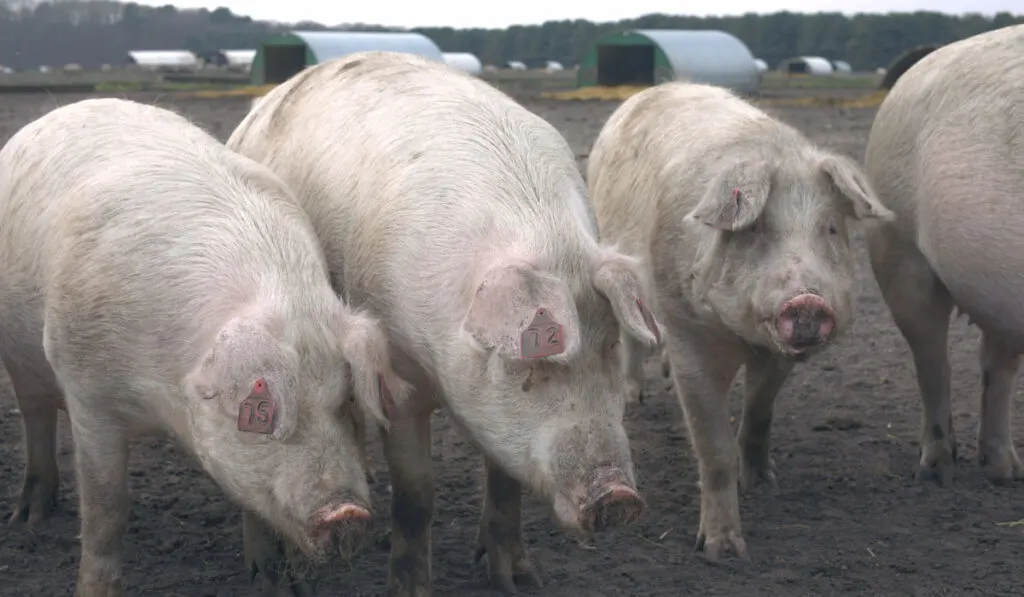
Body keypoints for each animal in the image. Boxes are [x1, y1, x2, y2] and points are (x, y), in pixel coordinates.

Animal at [0, 98, 407, 597]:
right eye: (267, 413)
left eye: (347, 400)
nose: (347, 511)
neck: (163, 401)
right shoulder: (87, 394)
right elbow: (106, 509)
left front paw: (270, 579)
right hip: (19, 355)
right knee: (34, 415)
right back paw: (29, 517)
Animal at [226, 49, 663, 593]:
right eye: (527, 364)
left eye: (610, 346)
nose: (618, 495)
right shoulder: (395, 372)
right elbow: (416, 496)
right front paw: (408, 589)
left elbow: (505, 482)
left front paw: (517, 581)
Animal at [589, 81, 892, 561]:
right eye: (754, 230)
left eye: (830, 229)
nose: (808, 300)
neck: (742, 338)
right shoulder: (687, 333)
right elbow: (713, 448)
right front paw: (722, 551)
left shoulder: (777, 354)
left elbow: (761, 410)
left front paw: (763, 484)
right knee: (634, 338)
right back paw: (633, 396)